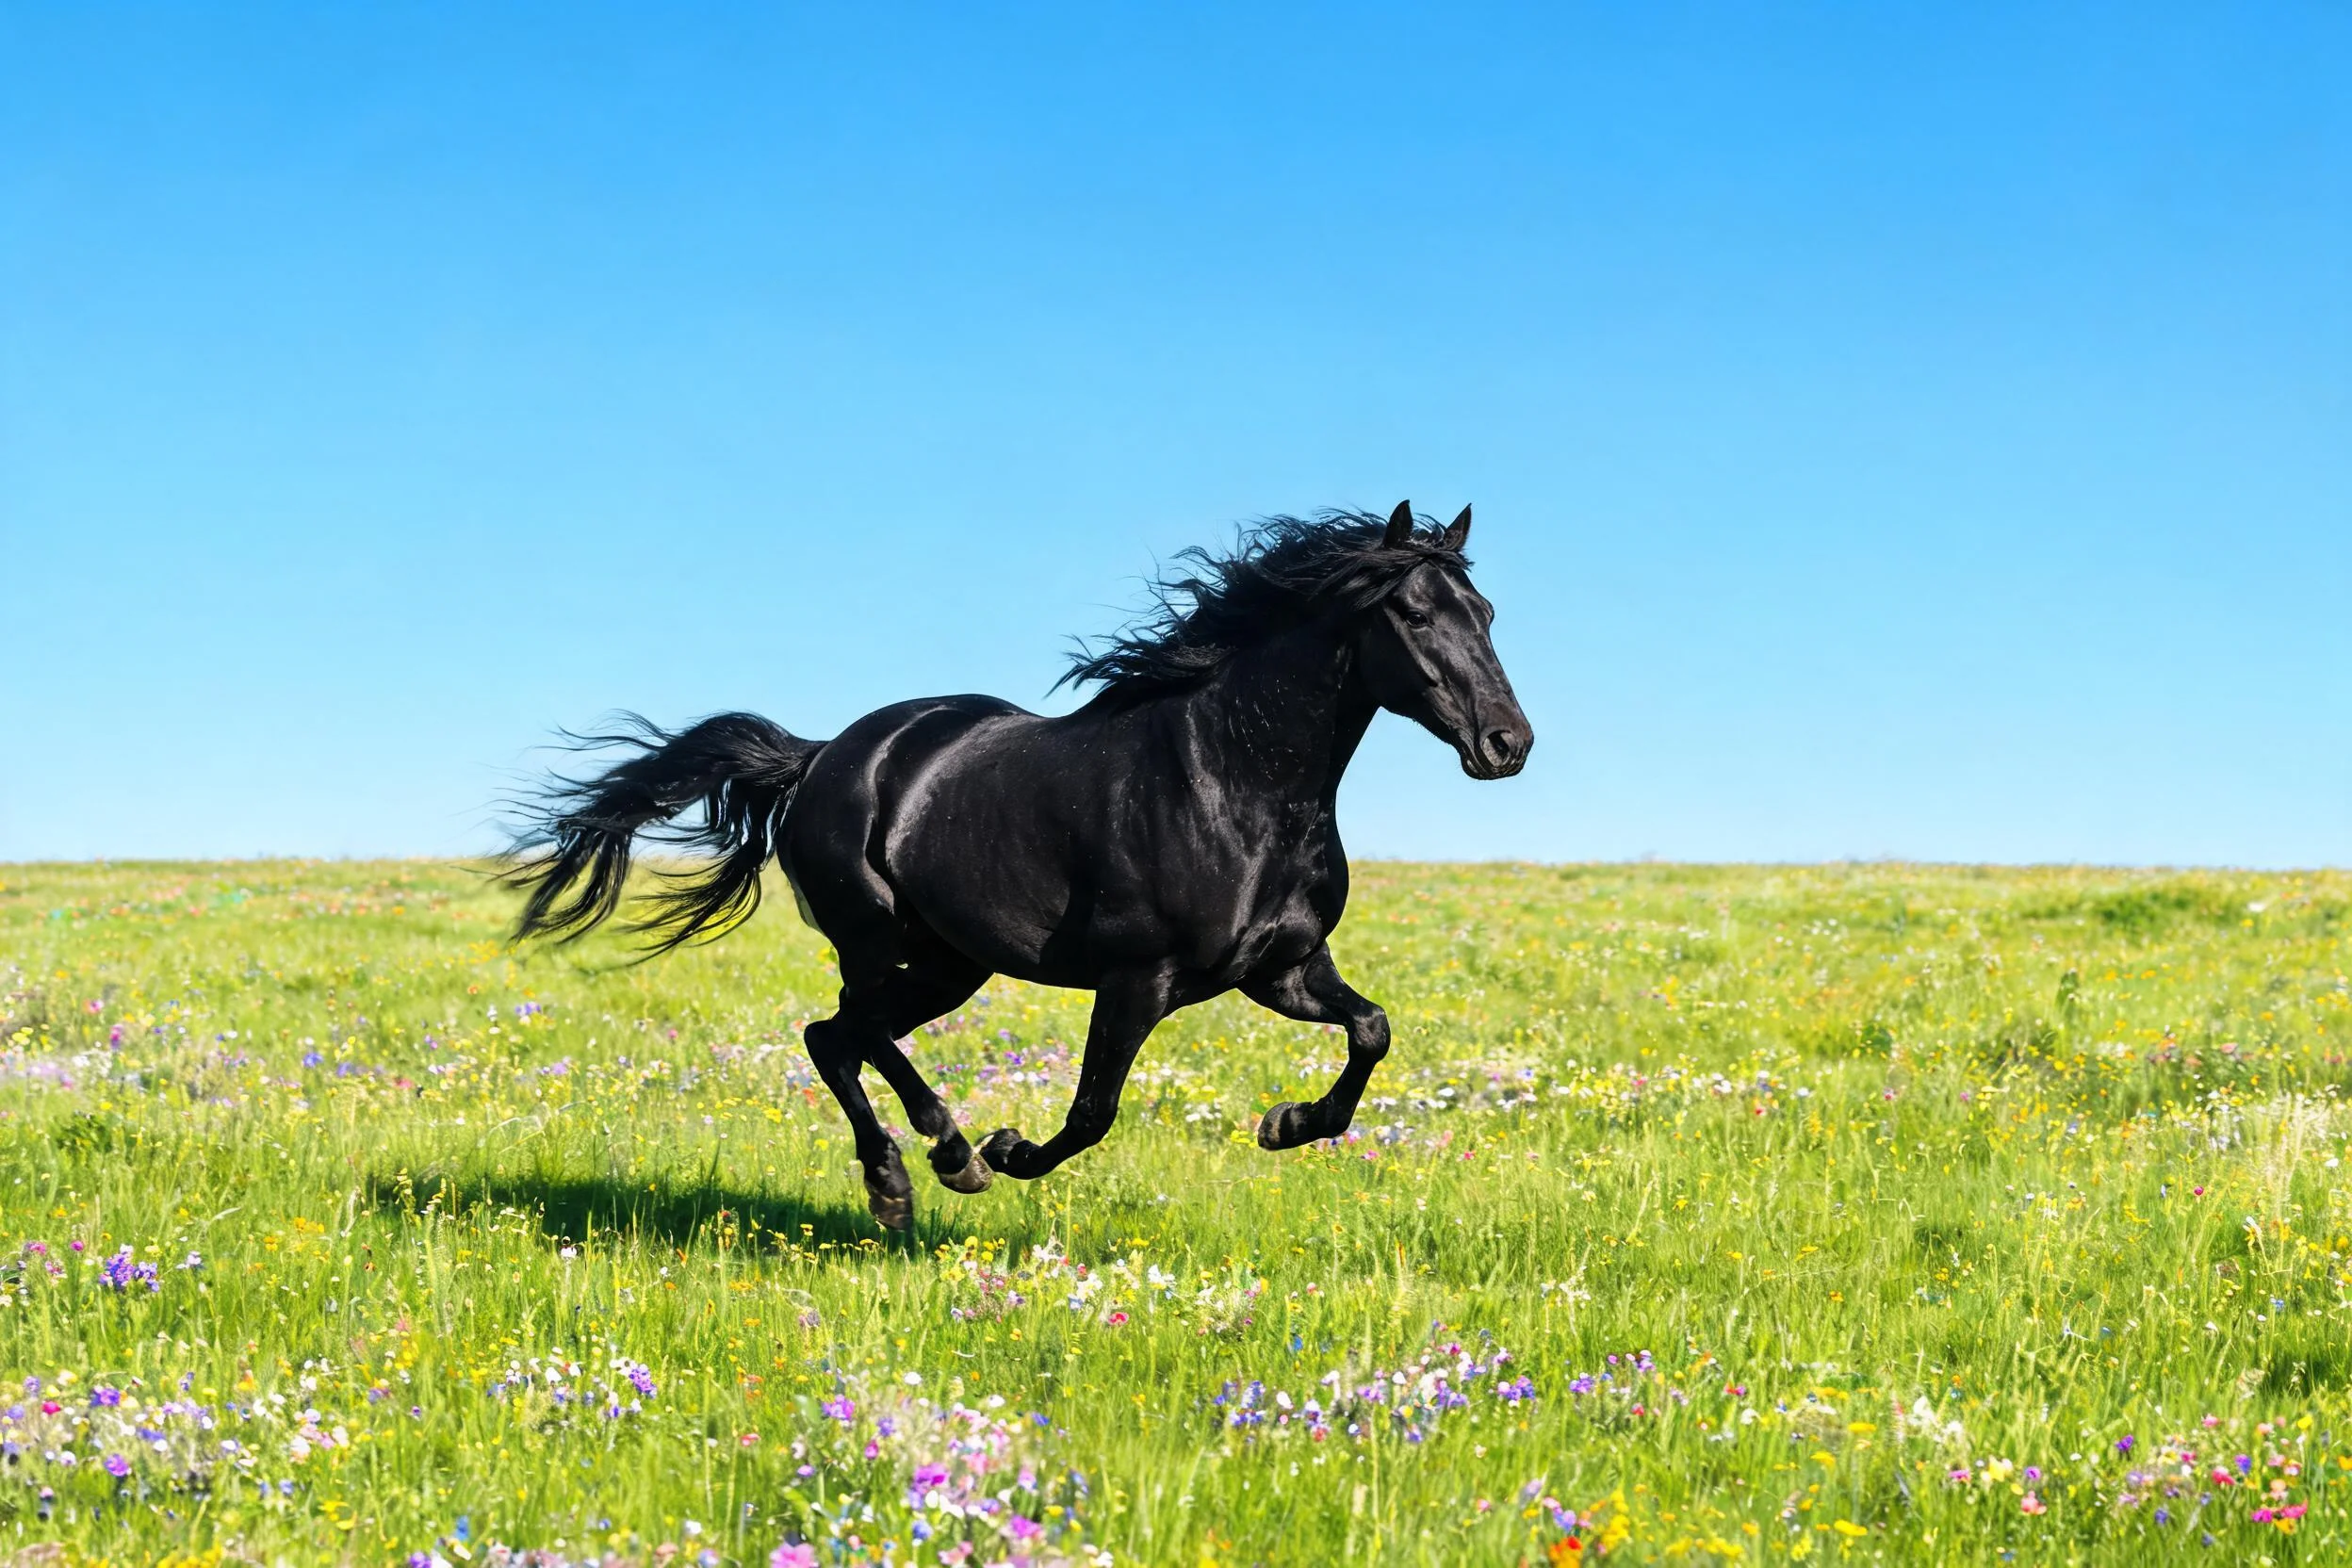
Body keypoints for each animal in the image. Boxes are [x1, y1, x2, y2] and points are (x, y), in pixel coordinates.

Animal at [503, 501, 1531, 1229]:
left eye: (1485, 612)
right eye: (1413, 612)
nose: (1507, 743)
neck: (1233, 780)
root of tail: (822, 756)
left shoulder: (1281, 969)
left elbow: (1373, 1031)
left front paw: (1285, 1125)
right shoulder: (1139, 978)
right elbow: (1092, 1113)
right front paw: (1007, 1147)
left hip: (950, 962)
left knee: (833, 1036)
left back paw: (897, 1183)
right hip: (874, 936)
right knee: (852, 1030)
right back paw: (948, 1155)